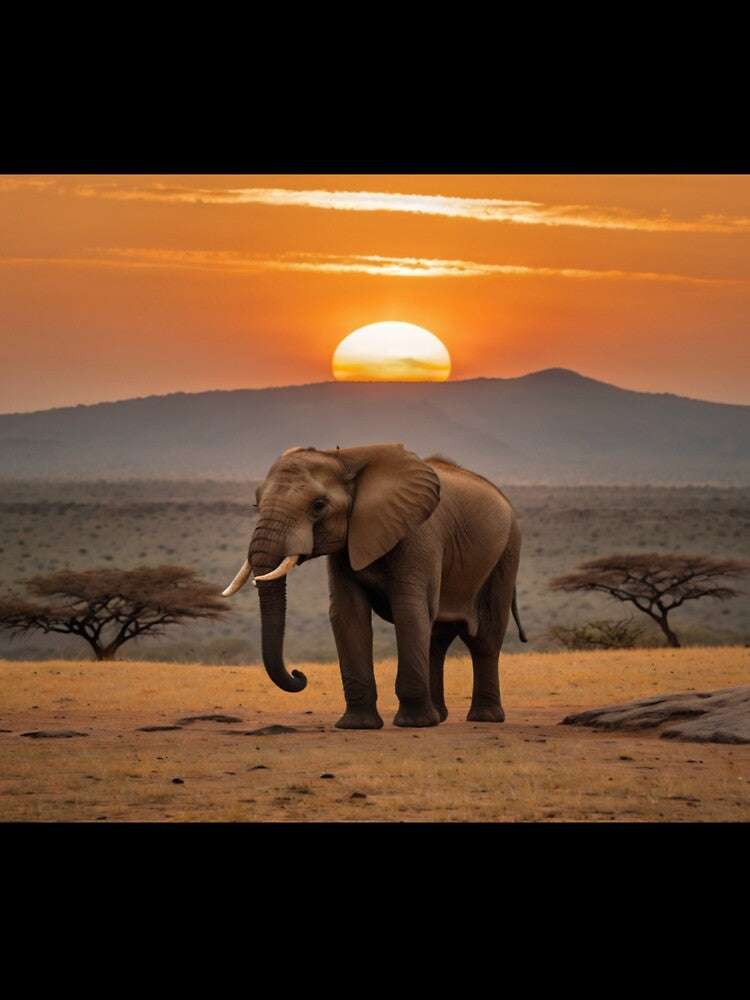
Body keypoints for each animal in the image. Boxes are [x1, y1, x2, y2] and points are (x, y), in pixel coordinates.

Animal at [222, 443, 526, 729]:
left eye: (319, 505)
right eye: (256, 505)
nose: (299, 674)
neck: (346, 458)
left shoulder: (418, 533)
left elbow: (409, 609)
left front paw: (412, 723)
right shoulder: (346, 546)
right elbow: (347, 613)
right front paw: (357, 725)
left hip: (506, 553)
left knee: (484, 638)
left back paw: (483, 717)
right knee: (436, 639)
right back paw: (438, 717)